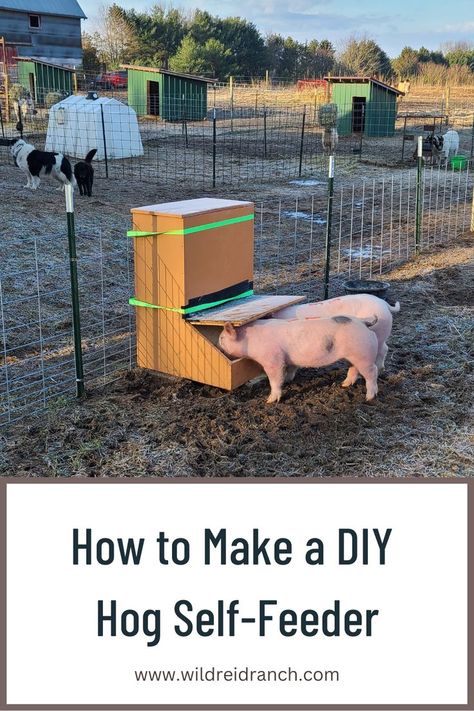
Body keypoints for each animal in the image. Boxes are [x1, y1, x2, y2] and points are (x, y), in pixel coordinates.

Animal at [218, 318, 378, 406]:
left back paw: (369, 397)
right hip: (354, 356)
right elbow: (290, 369)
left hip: (363, 355)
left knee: (373, 372)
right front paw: (288, 380)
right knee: (354, 369)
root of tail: (364, 323)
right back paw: (344, 385)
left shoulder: (273, 360)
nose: (218, 345)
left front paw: (269, 401)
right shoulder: (288, 359)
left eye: (222, 338)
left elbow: (274, 379)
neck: (250, 340)